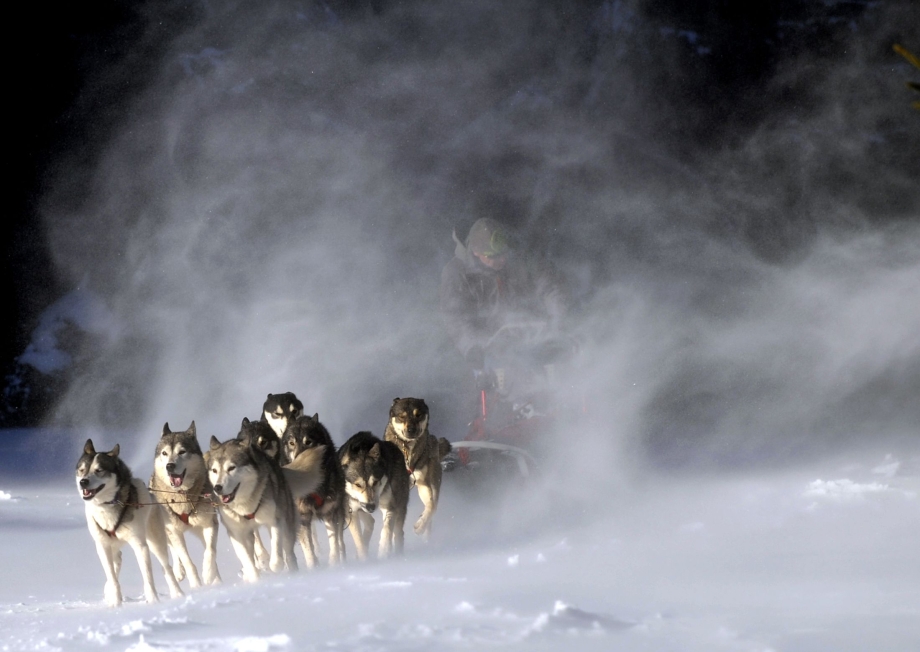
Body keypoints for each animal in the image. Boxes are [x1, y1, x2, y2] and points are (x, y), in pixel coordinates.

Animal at [77, 438, 183, 608]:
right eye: (81, 470)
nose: (83, 482)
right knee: (116, 563)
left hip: (155, 542)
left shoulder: (140, 546)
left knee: (167, 568)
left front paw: (153, 600)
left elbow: (148, 577)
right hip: (113, 548)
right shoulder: (102, 546)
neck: (108, 506)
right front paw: (116, 603)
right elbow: (112, 578)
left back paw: (178, 593)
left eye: (99, 470)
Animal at [152, 420, 224, 588]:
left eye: (182, 452)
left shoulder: (209, 524)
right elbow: (186, 559)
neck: (183, 496)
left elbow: (210, 551)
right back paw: (179, 571)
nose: (170, 466)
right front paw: (196, 584)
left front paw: (208, 573)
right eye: (164, 453)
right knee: (173, 550)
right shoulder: (173, 530)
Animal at [282, 416, 346, 568]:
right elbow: (308, 549)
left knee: (341, 541)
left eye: (308, 442)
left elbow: (334, 542)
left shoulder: (331, 514)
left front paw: (334, 563)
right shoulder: (303, 518)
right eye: (292, 443)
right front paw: (313, 567)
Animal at [338, 432, 410, 560]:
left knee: (398, 533)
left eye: (375, 482)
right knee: (370, 523)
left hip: (400, 504)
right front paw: (364, 560)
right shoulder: (351, 513)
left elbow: (386, 531)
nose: (370, 507)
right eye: (358, 485)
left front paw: (383, 552)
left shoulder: (390, 507)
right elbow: (359, 542)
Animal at [382, 398, 452, 540]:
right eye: (401, 416)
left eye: (418, 415)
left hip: (431, 480)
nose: (411, 429)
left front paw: (420, 526)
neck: (407, 450)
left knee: (433, 505)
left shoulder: (425, 483)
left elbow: (431, 506)